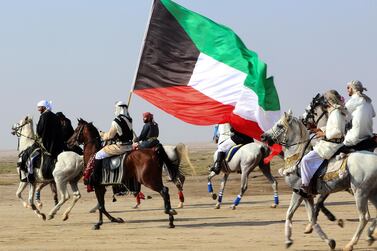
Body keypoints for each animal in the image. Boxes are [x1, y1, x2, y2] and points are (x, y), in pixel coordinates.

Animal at [260, 110, 376, 251]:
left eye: (279, 125)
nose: (263, 136)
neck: (297, 158)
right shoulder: (308, 195)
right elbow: (303, 216)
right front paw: (329, 241)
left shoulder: (300, 192)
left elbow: (300, 215)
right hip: (371, 192)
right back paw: (369, 235)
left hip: (360, 192)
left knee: (364, 217)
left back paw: (350, 244)